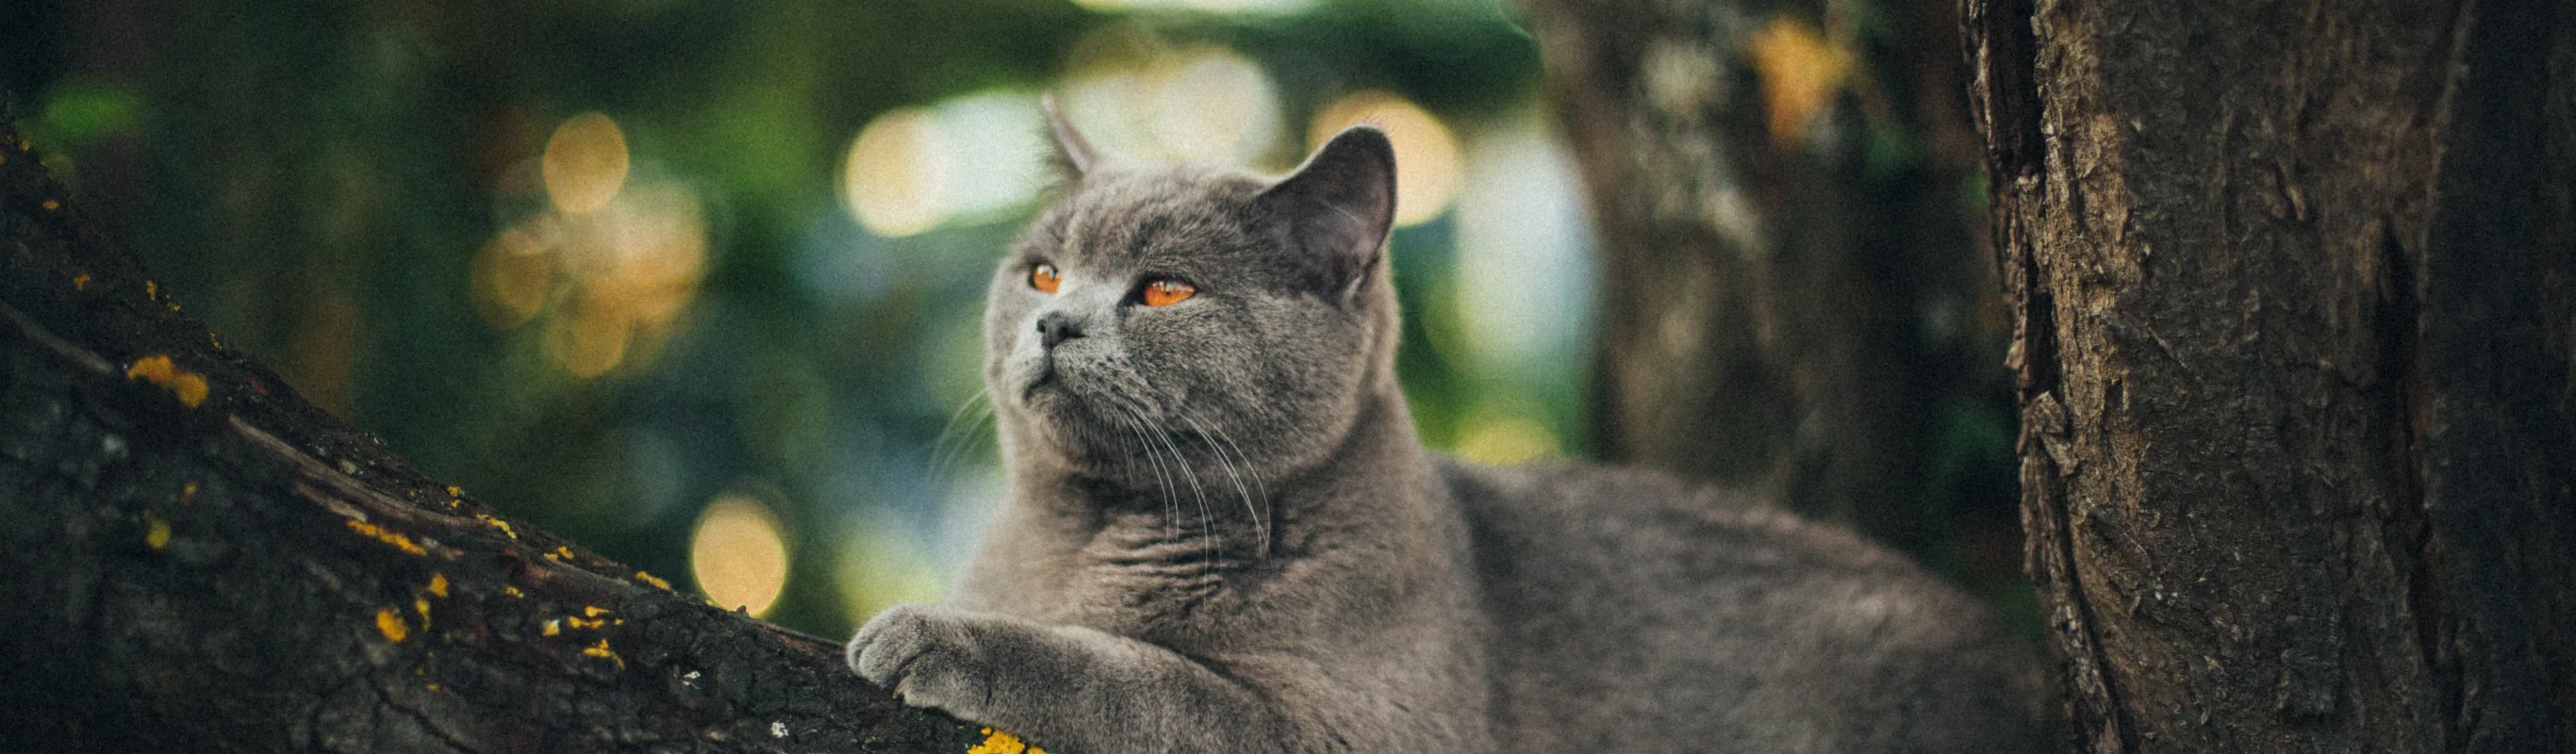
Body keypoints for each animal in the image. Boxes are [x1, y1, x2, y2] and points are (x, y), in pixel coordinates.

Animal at [850, 101, 2050, 751]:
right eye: (1043, 271)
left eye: (1163, 291)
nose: (1053, 321)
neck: (1082, 533)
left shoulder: (1341, 725)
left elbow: (1133, 674)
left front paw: (930, 635)